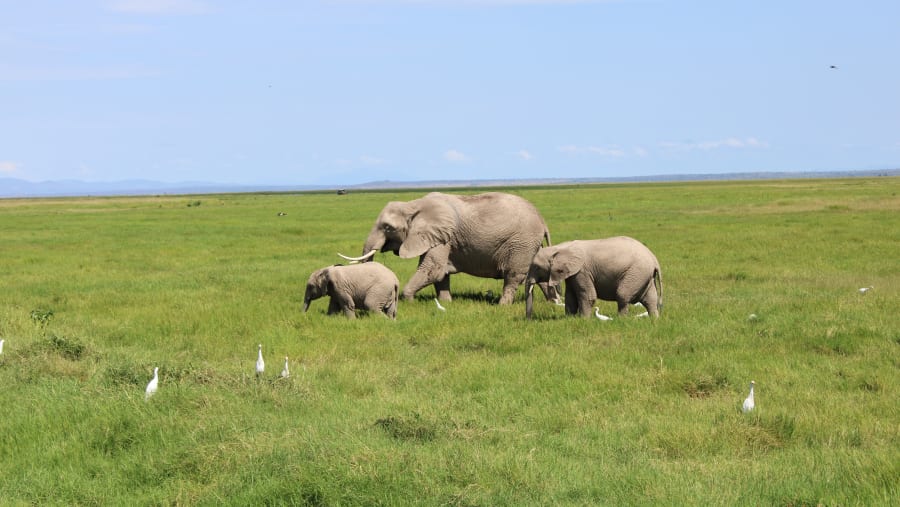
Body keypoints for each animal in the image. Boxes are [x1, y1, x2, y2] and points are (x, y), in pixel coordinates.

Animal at [345, 192, 554, 305]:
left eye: (388, 227)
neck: (413, 204)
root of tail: (543, 221)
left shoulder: (442, 235)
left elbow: (433, 269)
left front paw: (409, 300)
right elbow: (441, 273)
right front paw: (447, 303)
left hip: (521, 243)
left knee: (513, 276)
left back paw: (502, 306)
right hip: (530, 244)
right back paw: (552, 302)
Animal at [525, 236, 663, 319]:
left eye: (536, 267)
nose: (529, 319)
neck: (560, 247)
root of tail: (654, 259)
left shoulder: (582, 271)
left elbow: (588, 296)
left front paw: (584, 319)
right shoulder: (573, 273)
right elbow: (570, 297)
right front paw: (569, 319)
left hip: (636, 272)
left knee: (622, 295)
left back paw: (620, 319)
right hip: (644, 275)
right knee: (650, 298)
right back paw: (654, 319)